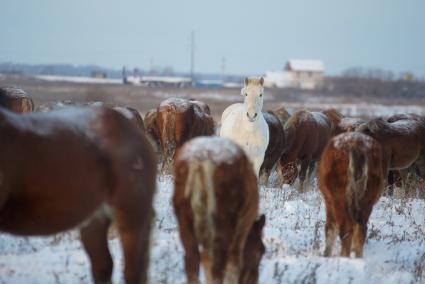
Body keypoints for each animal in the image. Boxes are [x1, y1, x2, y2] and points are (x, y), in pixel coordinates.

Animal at [173, 136, 264, 282]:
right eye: (261, 251)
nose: (254, 280)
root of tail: (200, 164)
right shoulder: (239, 236)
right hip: (222, 225)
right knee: (217, 268)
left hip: (184, 219)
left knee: (192, 261)